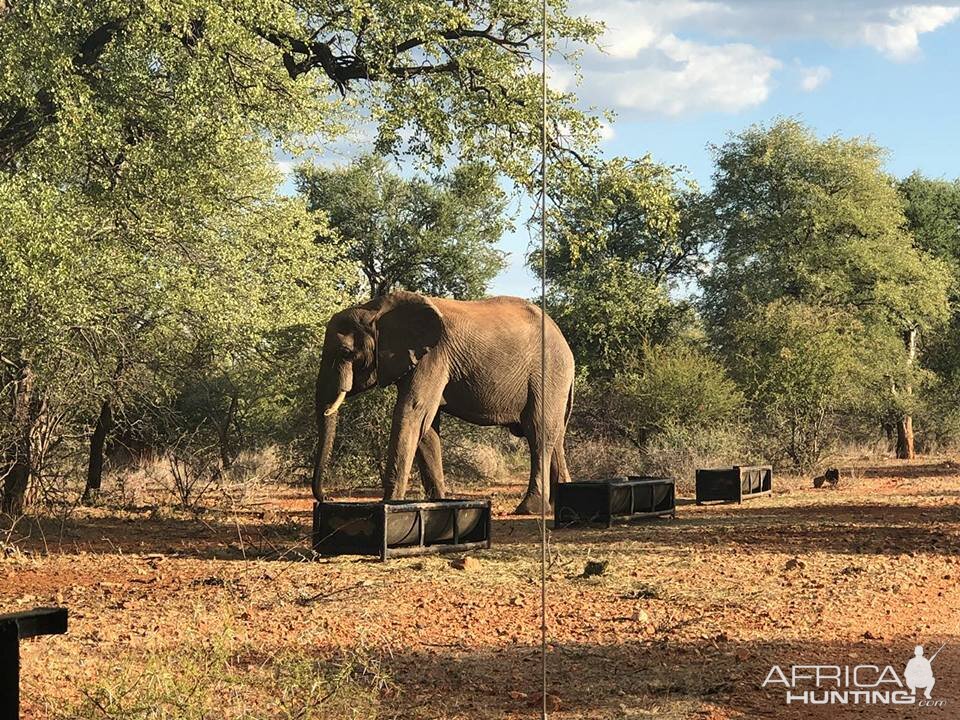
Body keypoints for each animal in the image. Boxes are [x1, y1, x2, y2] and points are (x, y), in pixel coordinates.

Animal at [312, 290, 572, 516]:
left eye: (346, 353)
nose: (327, 497)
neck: (375, 309)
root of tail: (564, 340)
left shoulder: (434, 356)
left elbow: (411, 413)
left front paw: (389, 505)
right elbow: (426, 428)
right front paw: (438, 506)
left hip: (548, 374)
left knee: (538, 432)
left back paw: (529, 509)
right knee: (556, 438)